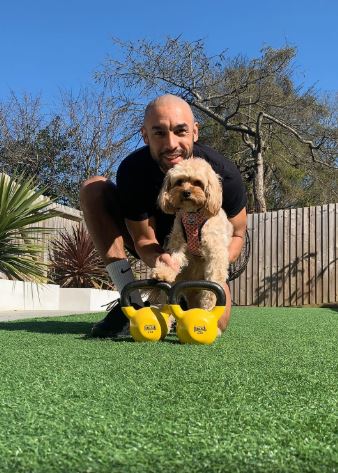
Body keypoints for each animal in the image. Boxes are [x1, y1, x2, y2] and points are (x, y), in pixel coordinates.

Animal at [152, 158, 234, 310]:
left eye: (198, 182)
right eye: (179, 181)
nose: (186, 192)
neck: (192, 215)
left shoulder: (215, 252)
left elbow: (213, 281)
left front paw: (208, 303)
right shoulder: (178, 244)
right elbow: (173, 260)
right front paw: (164, 272)